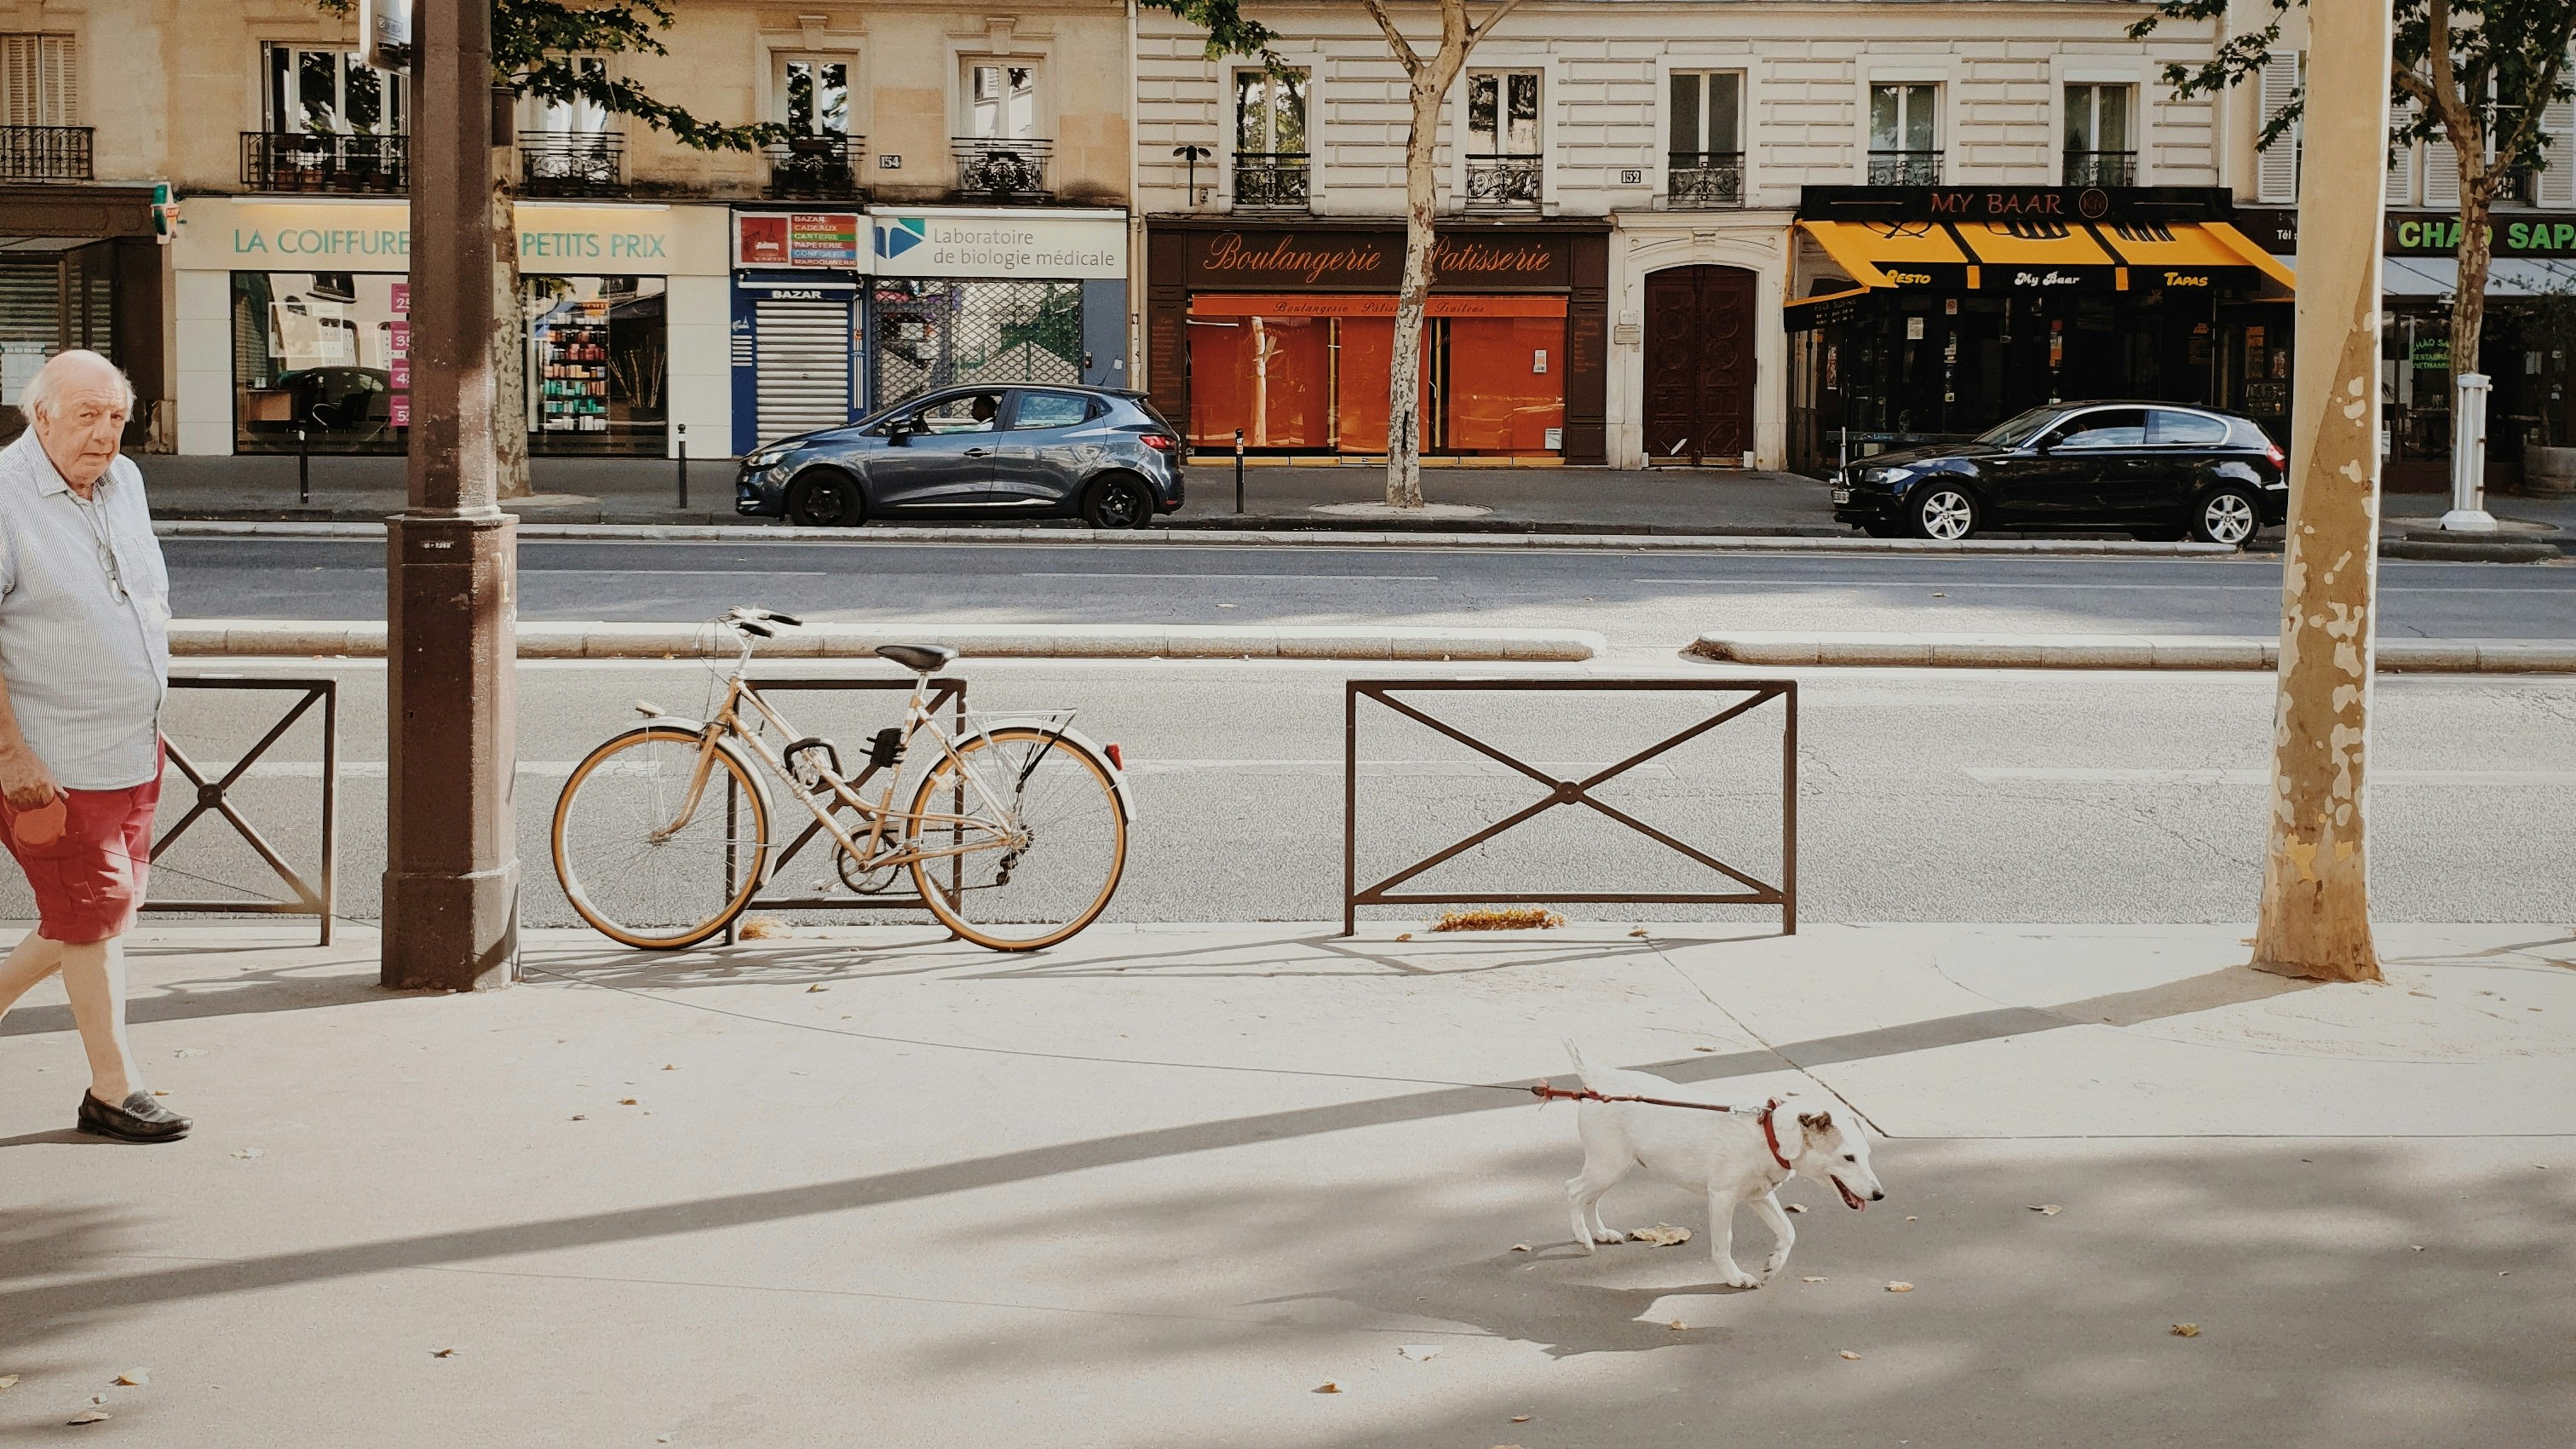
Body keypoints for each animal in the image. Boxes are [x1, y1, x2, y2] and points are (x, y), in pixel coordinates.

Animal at [1555, 1036, 1885, 1284]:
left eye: (1867, 1155)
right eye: (1848, 1157)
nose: (1880, 1195)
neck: (1770, 1133)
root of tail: (1597, 1078)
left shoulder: (1759, 1196)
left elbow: (1788, 1230)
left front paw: (1774, 1263)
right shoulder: (1723, 1197)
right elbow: (1724, 1241)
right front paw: (1735, 1277)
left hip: (1614, 1166)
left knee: (1590, 1198)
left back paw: (1600, 1233)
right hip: (1608, 1165)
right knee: (1574, 1190)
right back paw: (1584, 1238)